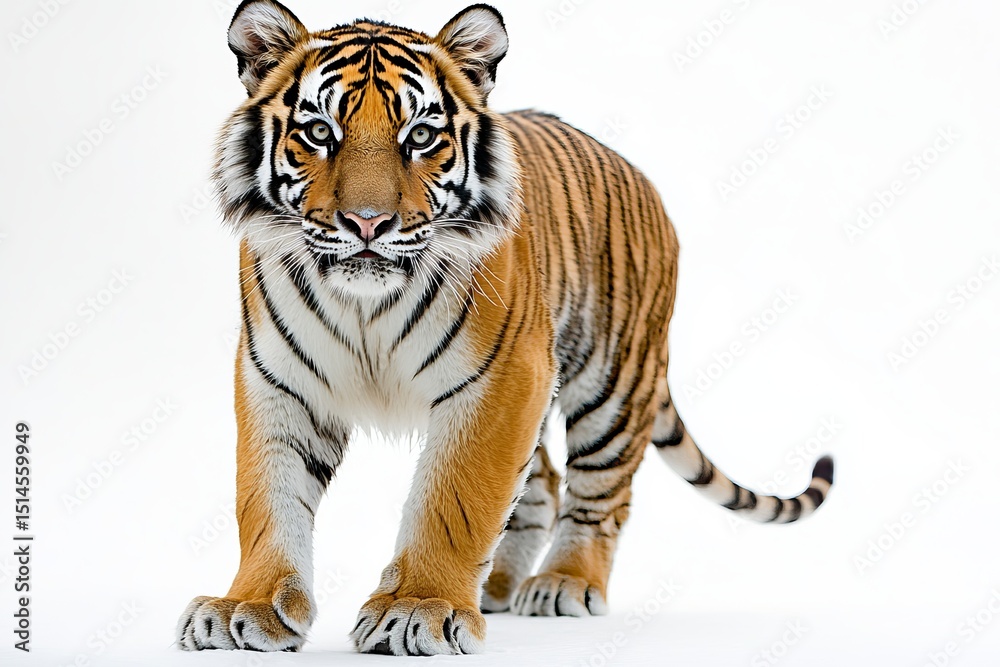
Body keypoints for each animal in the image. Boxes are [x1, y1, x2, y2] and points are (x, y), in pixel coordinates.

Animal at [176, 0, 835, 656]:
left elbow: (456, 498)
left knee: (600, 493)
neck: (365, 304)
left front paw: (417, 609)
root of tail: (637, 173)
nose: (367, 223)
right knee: (542, 483)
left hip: (615, 383)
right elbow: (267, 497)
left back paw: (564, 583)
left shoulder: (504, 377)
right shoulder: (278, 380)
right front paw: (249, 607)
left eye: (420, 137)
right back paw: (498, 585)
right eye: (318, 132)